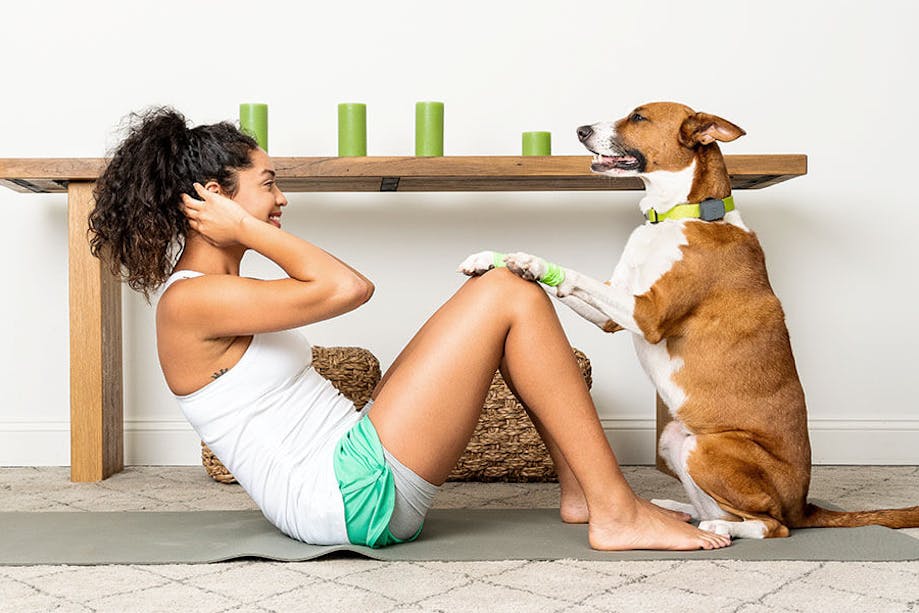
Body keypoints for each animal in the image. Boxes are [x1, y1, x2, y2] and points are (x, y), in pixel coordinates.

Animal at [460, 100, 919, 536]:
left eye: (638, 117)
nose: (580, 130)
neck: (679, 213)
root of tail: (804, 505)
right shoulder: (613, 311)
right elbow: (566, 280)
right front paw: (491, 258)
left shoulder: (646, 313)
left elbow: (572, 273)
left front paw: (526, 261)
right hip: (674, 438)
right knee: (717, 508)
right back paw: (677, 511)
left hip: (709, 450)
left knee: (771, 525)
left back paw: (721, 529)